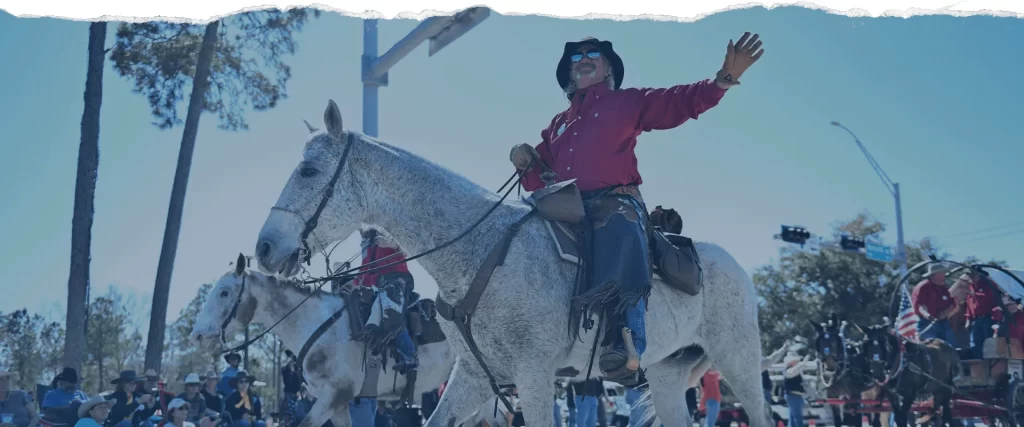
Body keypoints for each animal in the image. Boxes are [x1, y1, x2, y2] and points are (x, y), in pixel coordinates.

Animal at [253, 99, 770, 427]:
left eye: (309, 170)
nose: (265, 248)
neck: (480, 252)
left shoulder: (535, 376)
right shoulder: (477, 377)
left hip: (740, 361)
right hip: (666, 372)